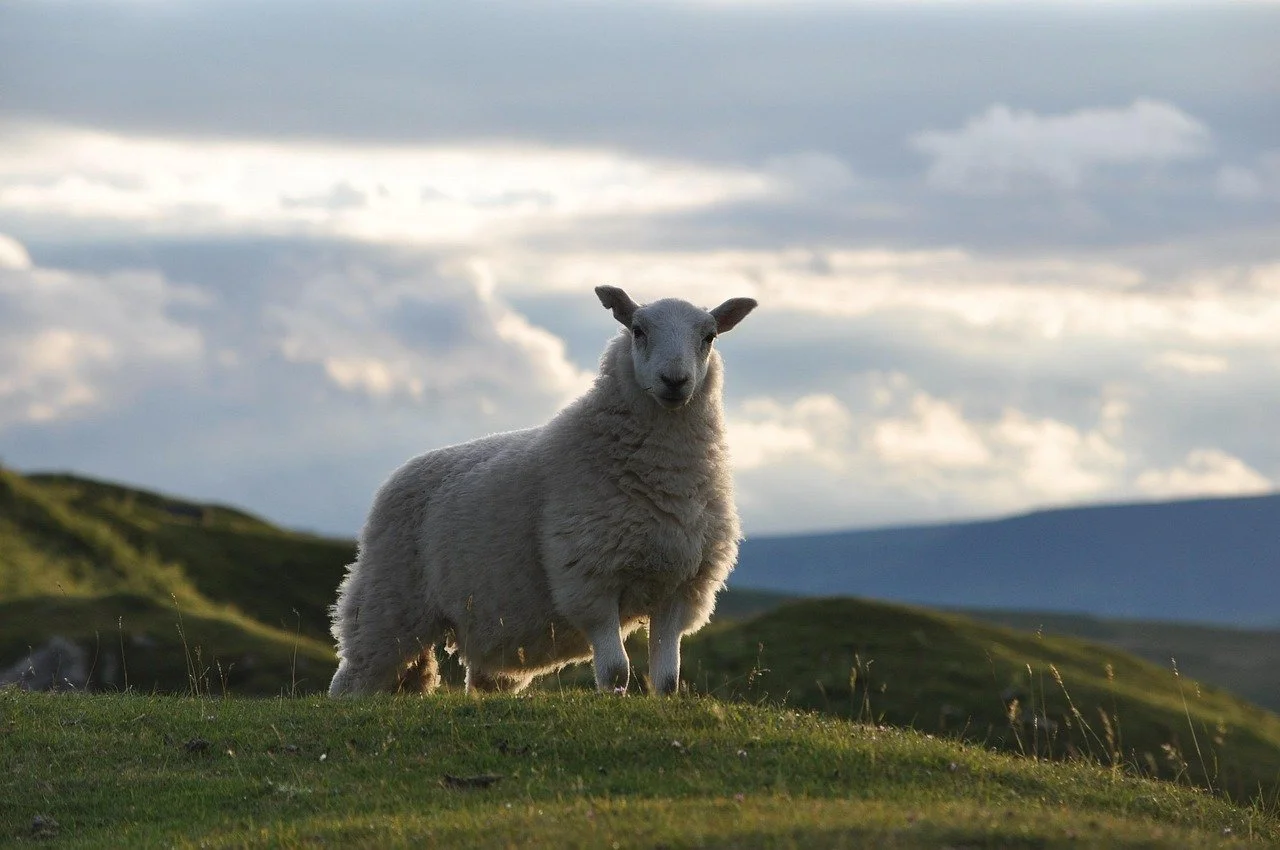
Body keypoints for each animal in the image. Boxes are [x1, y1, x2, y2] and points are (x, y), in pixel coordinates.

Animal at [328, 286, 757, 697]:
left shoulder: (680, 587)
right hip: (387, 603)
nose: (675, 381)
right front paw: (614, 698)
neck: (666, 477)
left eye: (709, 336)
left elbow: (668, 678)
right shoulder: (589, 581)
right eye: (638, 330)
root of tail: (397, 475)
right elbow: (616, 670)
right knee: (353, 677)